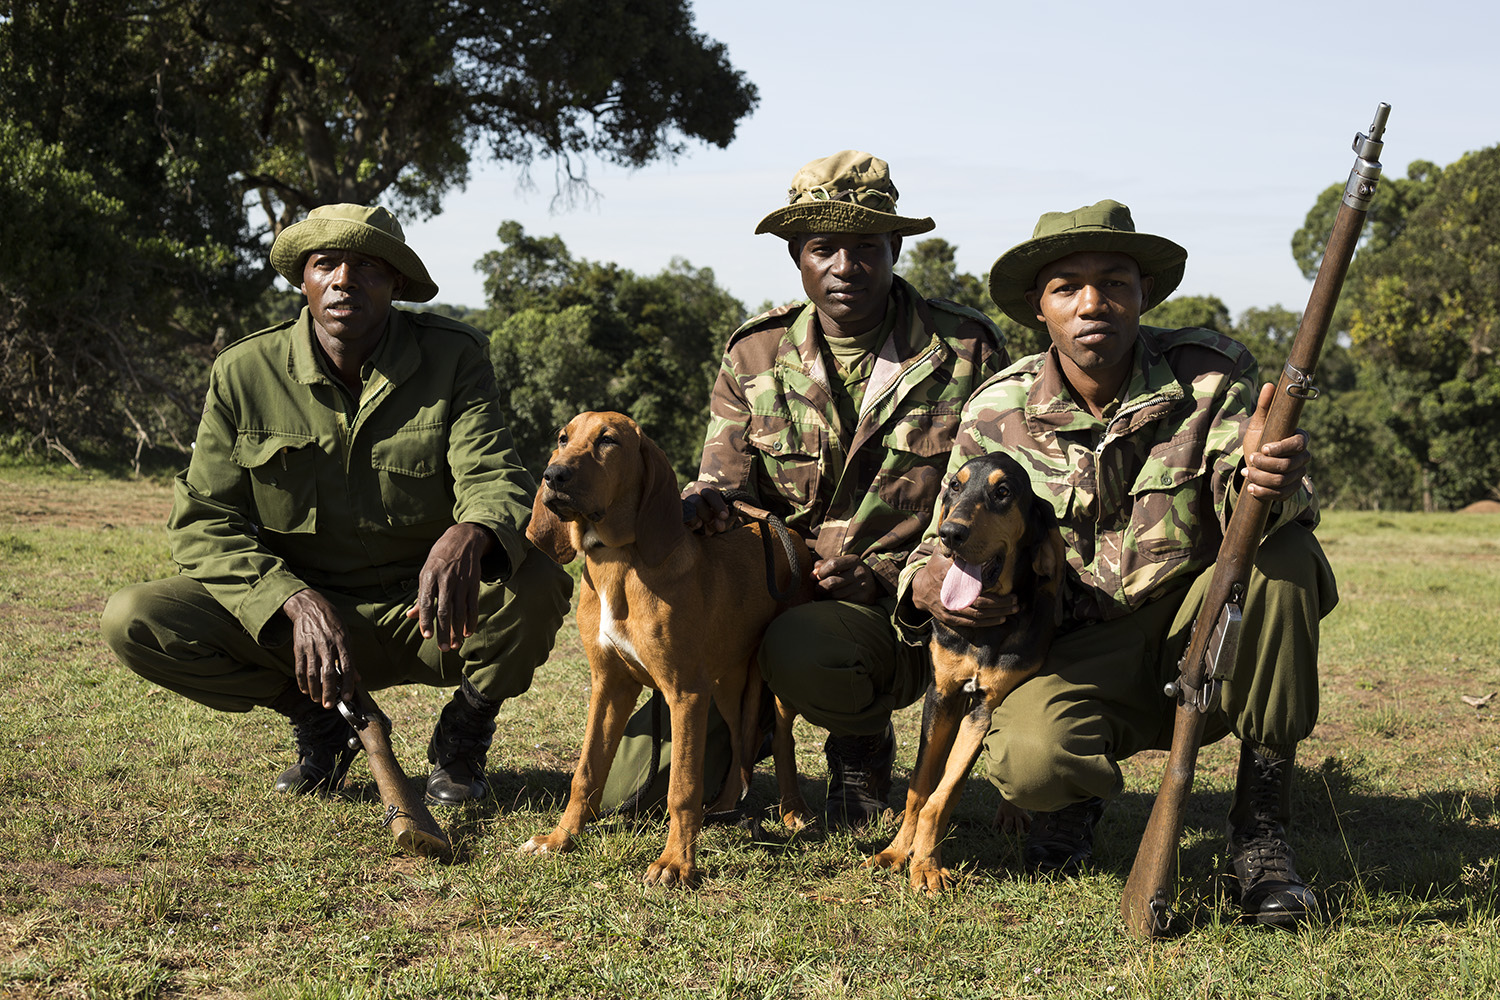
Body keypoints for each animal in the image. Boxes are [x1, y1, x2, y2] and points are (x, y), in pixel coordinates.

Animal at [522, 410, 816, 887]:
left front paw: (676, 863)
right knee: (743, 740)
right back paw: (724, 809)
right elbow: (586, 771)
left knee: (783, 738)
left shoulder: (684, 693)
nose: (554, 475)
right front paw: (559, 839)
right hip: (726, 683)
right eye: (563, 438)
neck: (619, 563)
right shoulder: (609, 685)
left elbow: (682, 786)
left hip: (769, 681)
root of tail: (786, 530)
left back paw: (793, 811)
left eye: (608, 441)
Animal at [870, 452, 1068, 893]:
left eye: (1003, 491)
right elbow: (920, 789)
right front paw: (897, 852)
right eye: (954, 486)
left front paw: (926, 865)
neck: (983, 632)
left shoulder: (986, 709)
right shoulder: (941, 696)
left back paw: (1011, 813)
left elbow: (943, 795)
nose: (950, 533)